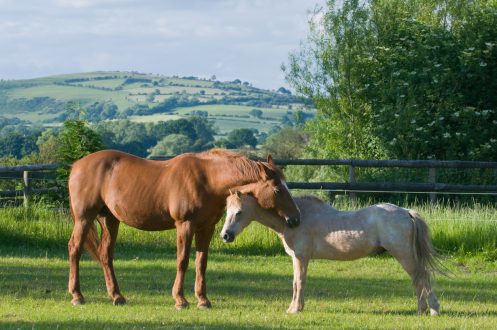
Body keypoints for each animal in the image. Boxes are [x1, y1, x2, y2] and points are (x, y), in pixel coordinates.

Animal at [66, 150, 298, 310]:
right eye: (277, 189)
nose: (295, 219)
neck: (208, 179)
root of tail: (77, 165)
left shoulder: (206, 228)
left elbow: (201, 263)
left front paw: (203, 300)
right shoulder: (184, 225)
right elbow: (183, 261)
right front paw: (180, 300)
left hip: (110, 220)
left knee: (106, 255)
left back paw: (117, 296)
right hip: (84, 218)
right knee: (75, 249)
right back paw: (77, 296)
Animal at [221, 192, 442, 316]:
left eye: (239, 212)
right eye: (227, 211)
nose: (225, 235)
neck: (295, 219)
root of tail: (406, 211)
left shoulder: (301, 258)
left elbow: (299, 282)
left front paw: (294, 310)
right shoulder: (297, 259)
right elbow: (295, 283)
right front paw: (295, 307)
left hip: (403, 254)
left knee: (422, 277)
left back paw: (432, 310)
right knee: (418, 279)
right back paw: (421, 310)